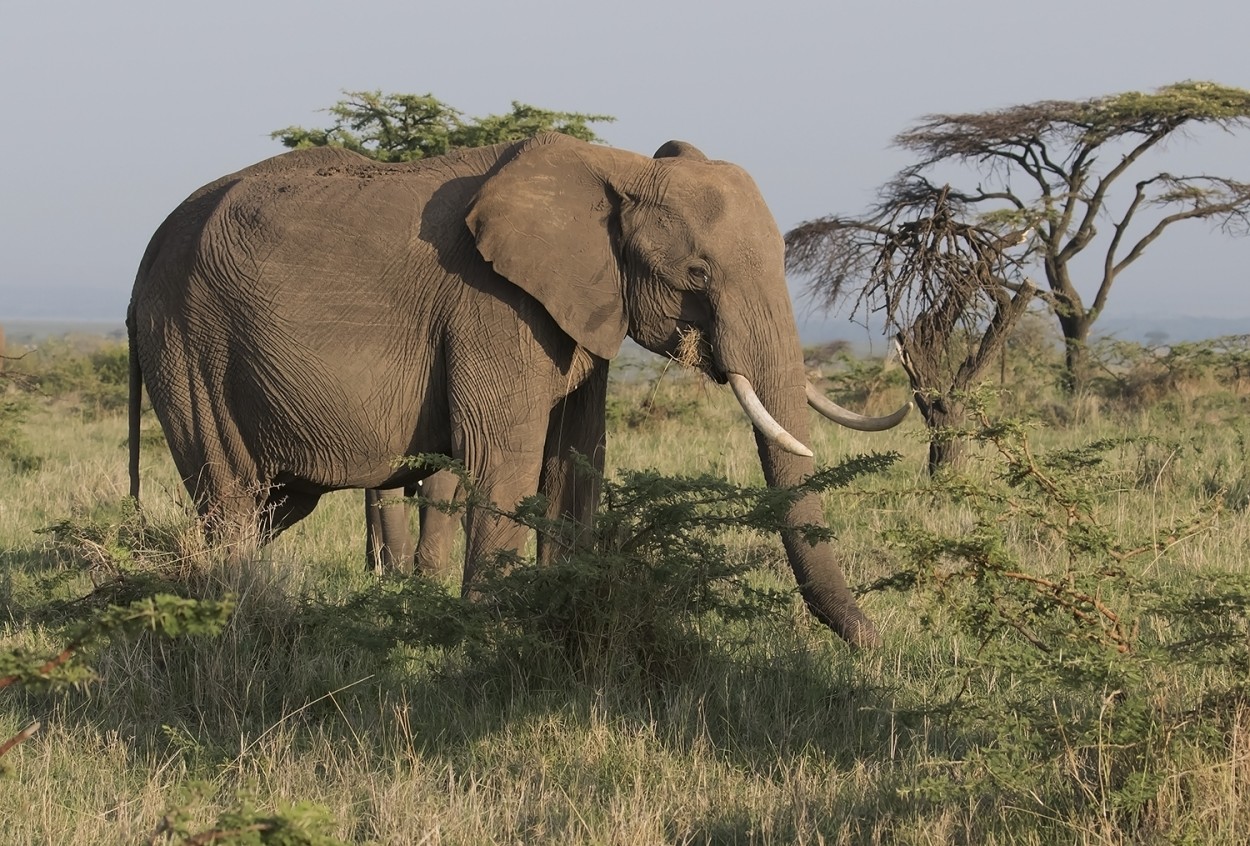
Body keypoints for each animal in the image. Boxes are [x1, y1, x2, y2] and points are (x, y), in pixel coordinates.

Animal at [126, 133, 910, 644]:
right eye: (696, 274)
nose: (878, 643)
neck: (615, 168)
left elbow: (576, 460)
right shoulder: (492, 307)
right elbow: (506, 457)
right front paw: (486, 641)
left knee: (268, 506)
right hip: (189, 346)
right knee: (232, 498)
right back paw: (225, 621)